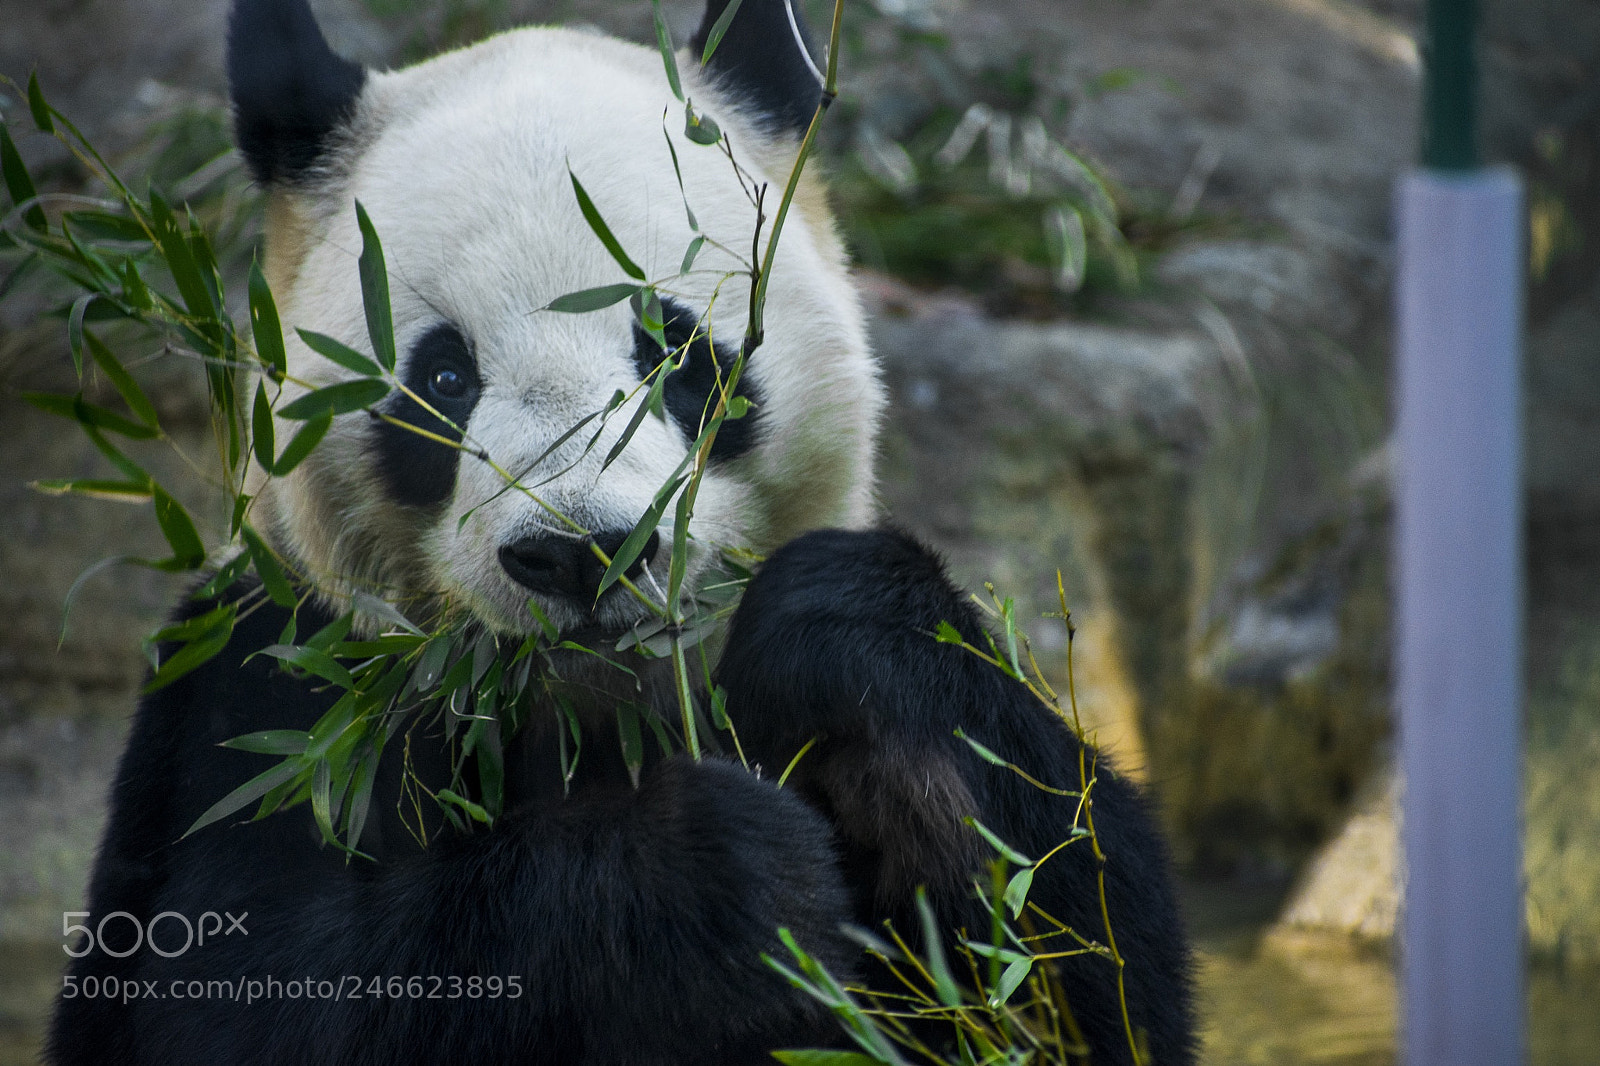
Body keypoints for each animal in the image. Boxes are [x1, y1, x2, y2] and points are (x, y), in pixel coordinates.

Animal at [48, 1, 1195, 1063]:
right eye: (444, 379)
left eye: (674, 350)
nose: (580, 552)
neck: (595, 715)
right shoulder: (269, 700)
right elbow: (261, 991)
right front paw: (711, 879)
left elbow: (1082, 952)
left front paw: (852, 665)